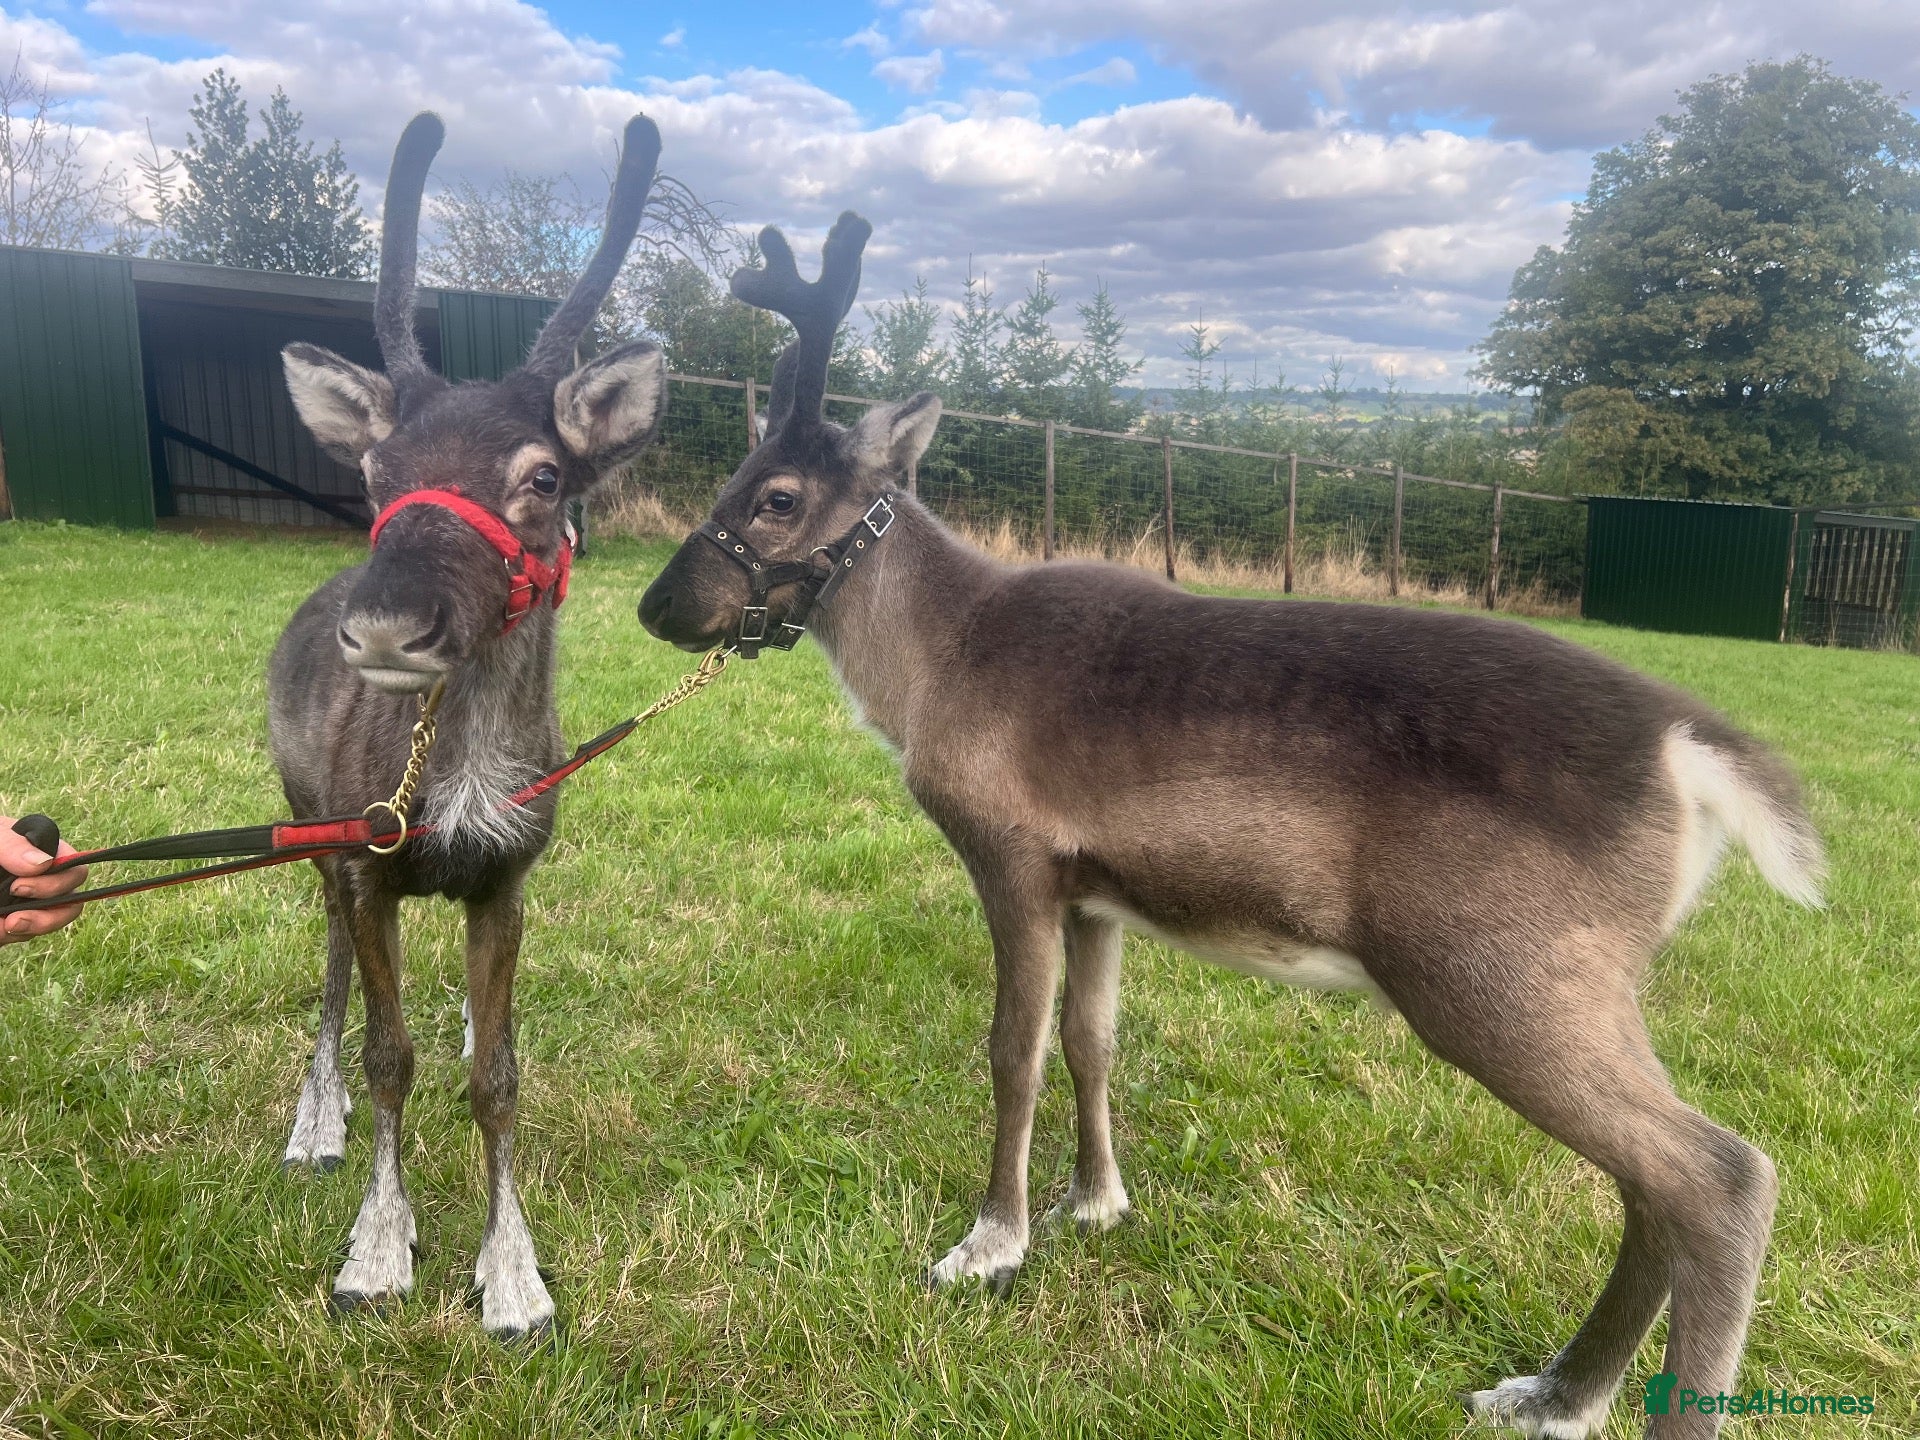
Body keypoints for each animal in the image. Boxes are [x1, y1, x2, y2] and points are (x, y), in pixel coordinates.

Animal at [269, 110, 668, 1336]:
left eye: (542, 475)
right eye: (373, 469)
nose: (387, 624)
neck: (457, 786)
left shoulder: (508, 875)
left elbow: (498, 1076)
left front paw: (513, 1277)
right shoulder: (365, 861)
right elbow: (388, 1057)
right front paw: (377, 1250)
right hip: (305, 826)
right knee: (331, 978)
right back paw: (313, 1122)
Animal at [635, 215, 1827, 1437]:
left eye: (777, 496)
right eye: (733, 478)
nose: (656, 605)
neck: (931, 673)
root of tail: (1690, 754)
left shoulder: (1010, 857)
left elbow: (1014, 1047)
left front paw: (989, 1246)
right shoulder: (1096, 890)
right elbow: (1092, 1040)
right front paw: (1096, 1201)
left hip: (1497, 969)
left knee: (1720, 1175)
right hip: (1584, 983)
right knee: (1656, 1180)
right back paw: (1553, 1392)